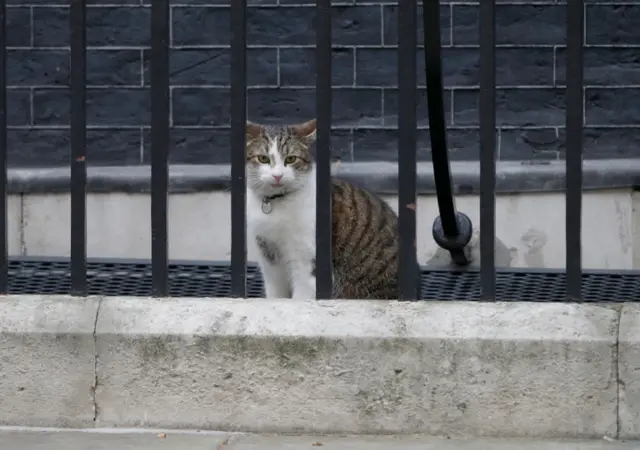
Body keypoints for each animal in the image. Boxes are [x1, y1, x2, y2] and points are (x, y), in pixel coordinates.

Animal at [244, 118, 400, 298]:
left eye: (291, 159)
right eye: (263, 158)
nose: (277, 176)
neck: (276, 203)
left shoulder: (306, 257)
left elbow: (302, 294)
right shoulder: (268, 254)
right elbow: (276, 292)